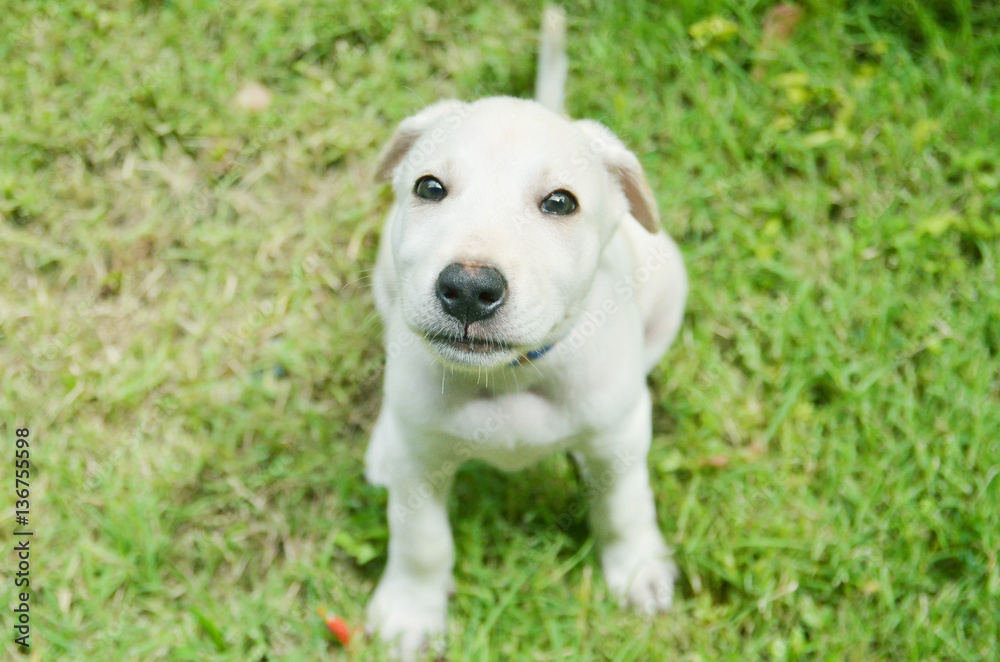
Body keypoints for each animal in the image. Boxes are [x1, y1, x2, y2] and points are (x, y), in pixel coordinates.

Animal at [368, 5, 688, 660]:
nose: (468, 288)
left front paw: (639, 569)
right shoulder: (420, 463)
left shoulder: (618, 440)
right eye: (429, 187)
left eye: (560, 202)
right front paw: (411, 609)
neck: (510, 378)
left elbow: (624, 503)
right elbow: (420, 539)